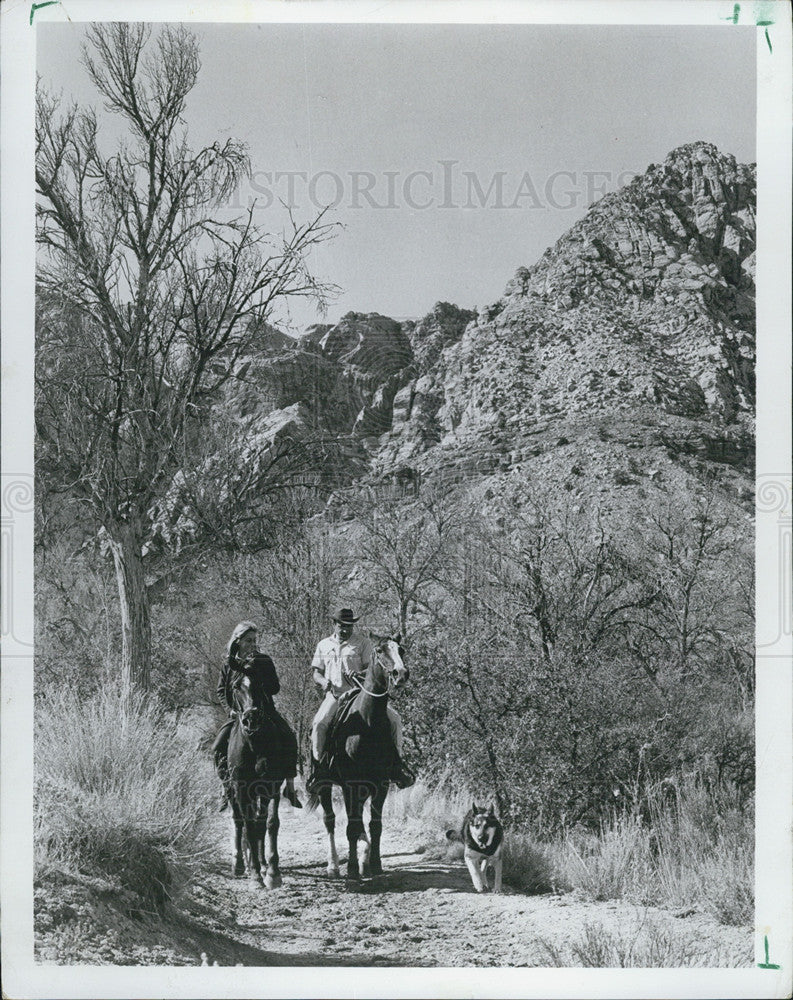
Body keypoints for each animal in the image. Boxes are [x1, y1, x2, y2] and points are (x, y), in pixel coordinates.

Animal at [226, 676, 290, 888]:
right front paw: (254, 873)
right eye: (235, 687)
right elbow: (249, 825)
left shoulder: (271, 786)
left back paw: (262, 864)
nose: (252, 718)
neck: (254, 744)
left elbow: (268, 823)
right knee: (240, 822)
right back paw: (239, 864)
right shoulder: (240, 789)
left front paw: (271, 872)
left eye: (261, 684)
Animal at [308, 636, 412, 880]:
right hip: (325, 786)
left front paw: (374, 864)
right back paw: (334, 866)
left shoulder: (381, 784)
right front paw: (353, 868)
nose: (401, 673)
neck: (368, 722)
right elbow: (351, 826)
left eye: (401, 650)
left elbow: (375, 825)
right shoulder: (350, 785)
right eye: (380, 650)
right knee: (330, 820)